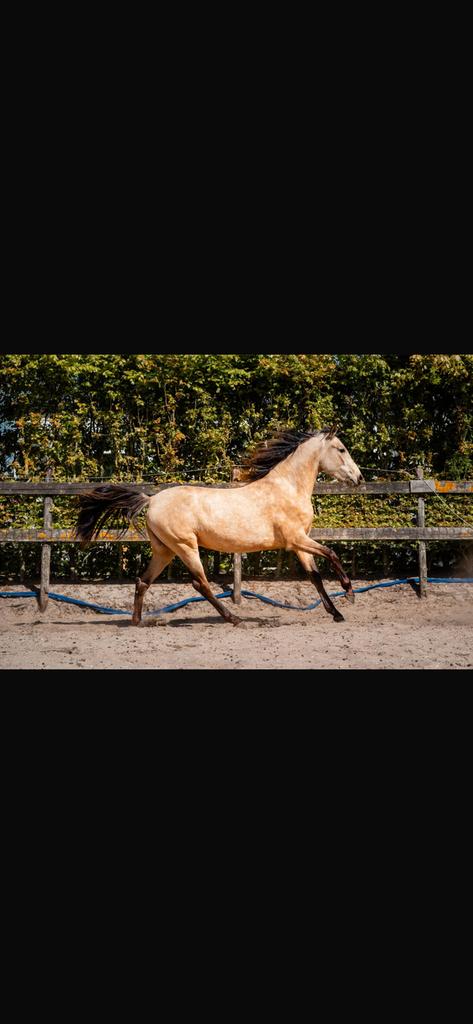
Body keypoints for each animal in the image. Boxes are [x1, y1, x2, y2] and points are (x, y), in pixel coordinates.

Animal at [74, 426, 364, 626]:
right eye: (341, 449)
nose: (359, 478)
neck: (288, 487)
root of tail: (152, 499)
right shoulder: (296, 540)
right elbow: (331, 553)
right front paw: (349, 593)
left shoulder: (301, 542)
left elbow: (315, 577)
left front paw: (337, 613)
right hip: (185, 546)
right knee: (200, 584)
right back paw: (234, 618)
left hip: (164, 550)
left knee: (143, 581)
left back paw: (137, 621)